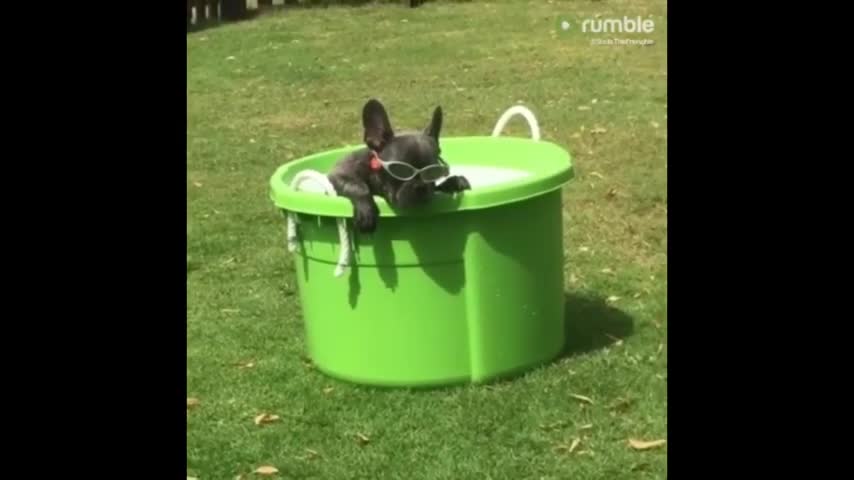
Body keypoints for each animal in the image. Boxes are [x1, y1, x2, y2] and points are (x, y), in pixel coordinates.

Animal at [330, 98, 474, 233]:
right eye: (400, 170)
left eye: (433, 173)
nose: (420, 186)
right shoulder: (340, 173)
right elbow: (358, 186)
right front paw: (366, 210)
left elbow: (437, 188)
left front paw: (454, 182)